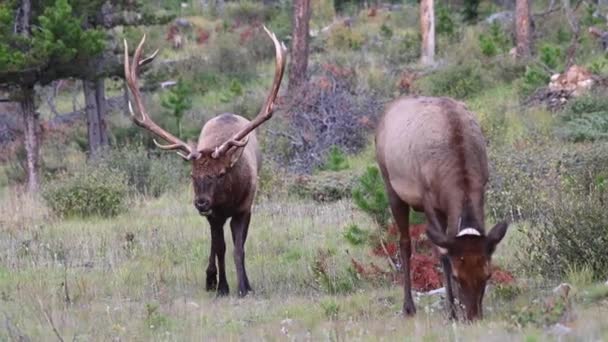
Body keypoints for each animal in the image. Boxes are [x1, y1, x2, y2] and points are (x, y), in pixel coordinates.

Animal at [124, 26, 288, 296]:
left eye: (221, 173)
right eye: (192, 175)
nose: (200, 202)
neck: (228, 198)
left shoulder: (245, 207)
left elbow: (239, 248)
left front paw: (244, 287)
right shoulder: (214, 215)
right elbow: (220, 247)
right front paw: (222, 286)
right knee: (214, 242)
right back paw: (210, 278)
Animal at [376, 96, 508, 320]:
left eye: (488, 274)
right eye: (456, 277)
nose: (473, 317)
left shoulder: (482, 188)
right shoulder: (428, 199)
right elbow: (443, 255)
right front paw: (452, 311)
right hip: (390, 186)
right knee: (405, 243)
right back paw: (408, 307)